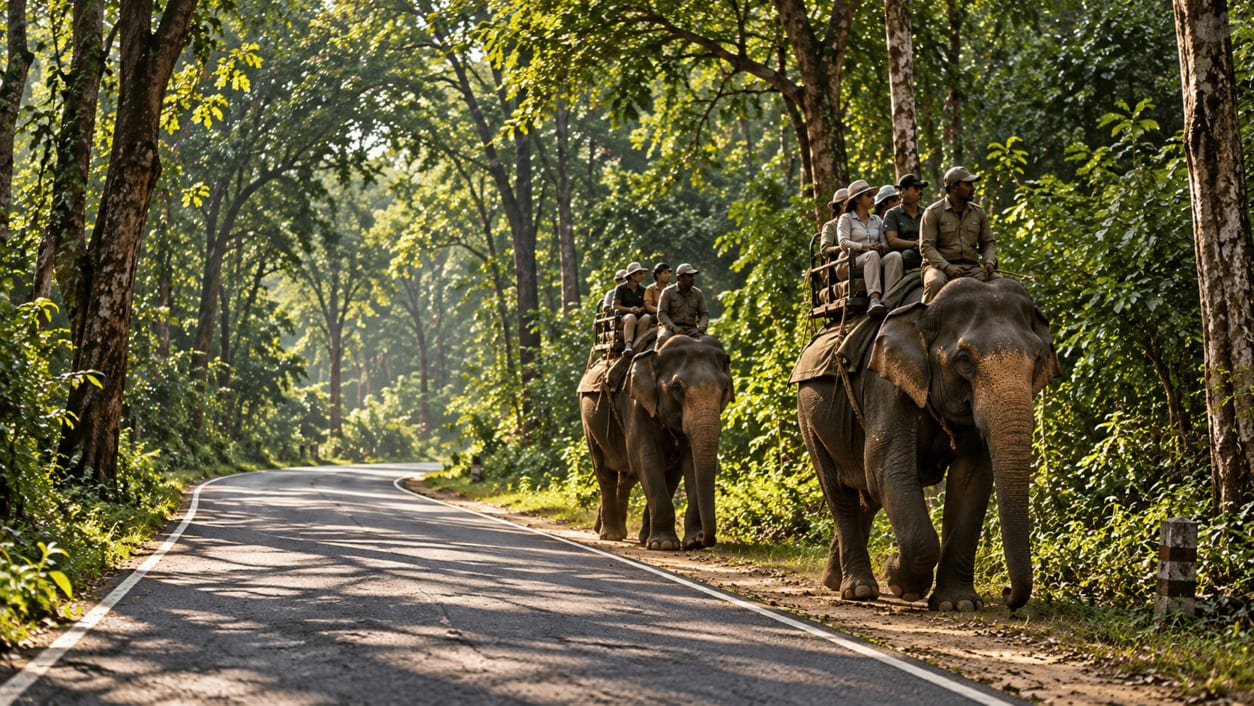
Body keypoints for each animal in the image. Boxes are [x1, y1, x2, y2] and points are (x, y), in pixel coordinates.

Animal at [579, 334, 734, 550]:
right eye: (677, 388)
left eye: (725, 388)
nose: (704, 539)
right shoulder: (636, 404)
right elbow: (647, 458)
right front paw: (664, 544)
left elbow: (686, 465)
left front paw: (689, 541)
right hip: (588, 421)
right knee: (605, 473)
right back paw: (611, 534)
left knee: (627, 477)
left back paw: (608, 529)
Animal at [795, 277, 1059, 611]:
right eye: (964, 360)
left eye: (1037, 357)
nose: (1007, 593)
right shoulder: (885, 384)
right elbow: (887, 468)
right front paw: (901, 582)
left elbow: (972, 480)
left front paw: (959, 604)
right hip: (808, 415)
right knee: (840, 493)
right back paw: (859, 590)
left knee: (867, 495)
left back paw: (834, 580)